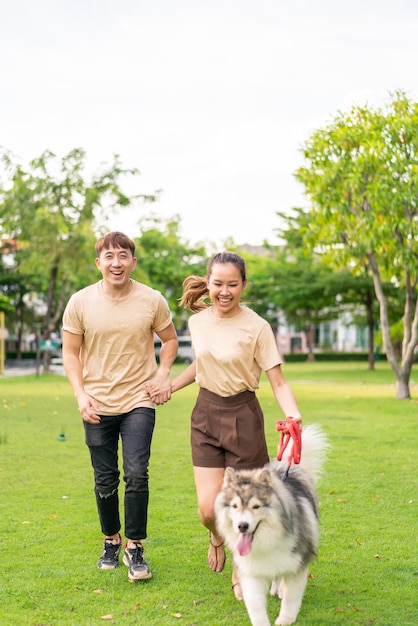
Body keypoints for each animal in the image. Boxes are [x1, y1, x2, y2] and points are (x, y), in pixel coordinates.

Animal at [216, 422, 330, 620]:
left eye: (256, 506)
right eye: (235, 506)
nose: (242, 526)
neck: (266, 541)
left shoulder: (297, 562)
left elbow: (291, 598)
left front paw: (285, 620)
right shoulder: (251, 571)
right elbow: (255, 604)